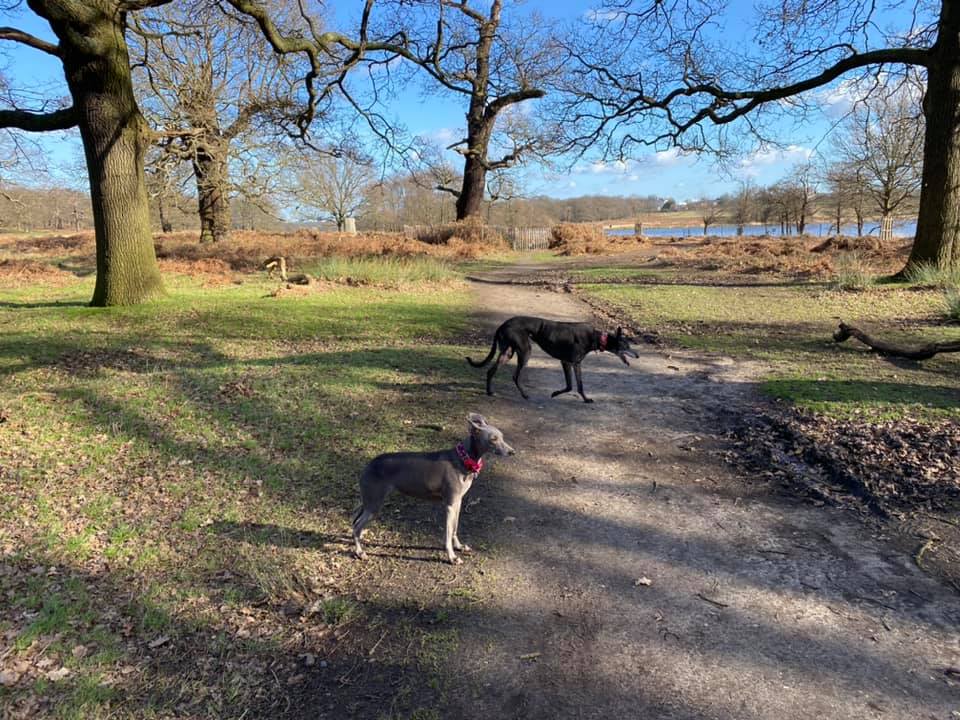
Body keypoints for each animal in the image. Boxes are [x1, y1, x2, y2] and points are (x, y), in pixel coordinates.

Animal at [352, 413, 514, 565]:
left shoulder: (458, 502)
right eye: (493, 439)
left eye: (502, 437)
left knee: (355, 522)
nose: (512, 452)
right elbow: (448, 533)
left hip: (368, 502)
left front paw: (459, 546)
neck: (463, 459)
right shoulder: (449, 505)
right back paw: (360, 552)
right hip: (374, 504)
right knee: (356, 526)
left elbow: (455, 528)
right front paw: (452, 557)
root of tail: (369, 464)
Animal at [467, 316, 639, 403]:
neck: (596, 337)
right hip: (525, 351)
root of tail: (502, 325)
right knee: (515, 376)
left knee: (490, 371)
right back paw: (525, 395)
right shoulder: (573, 363)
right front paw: (584, 398)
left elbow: (571, 386)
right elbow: (578, 385)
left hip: (507, 352)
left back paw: (489, 392)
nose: (638, 355)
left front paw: (556, 394)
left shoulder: (567, 362)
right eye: (626, 345)